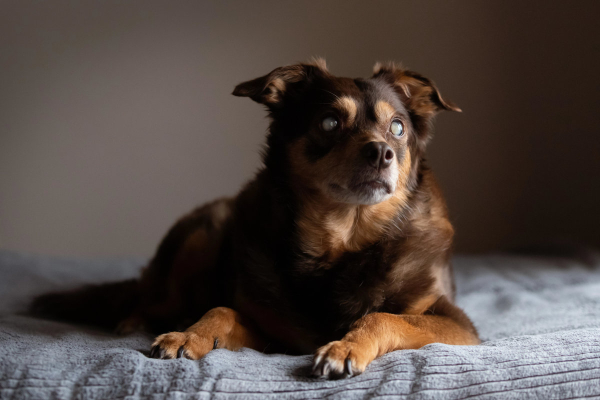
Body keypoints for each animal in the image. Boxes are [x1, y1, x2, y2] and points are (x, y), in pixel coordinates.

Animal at [35, 58, 480, 378]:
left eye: (398, 128)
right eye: (330, 122)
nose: (382, 153)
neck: (343, 241)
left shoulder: (458, 325)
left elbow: (383, 317)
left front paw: (346, 346)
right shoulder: (273, 332)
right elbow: (222, 310)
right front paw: (190, 334)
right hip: (202, 237)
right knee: (152, 297)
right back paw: (136, 319)